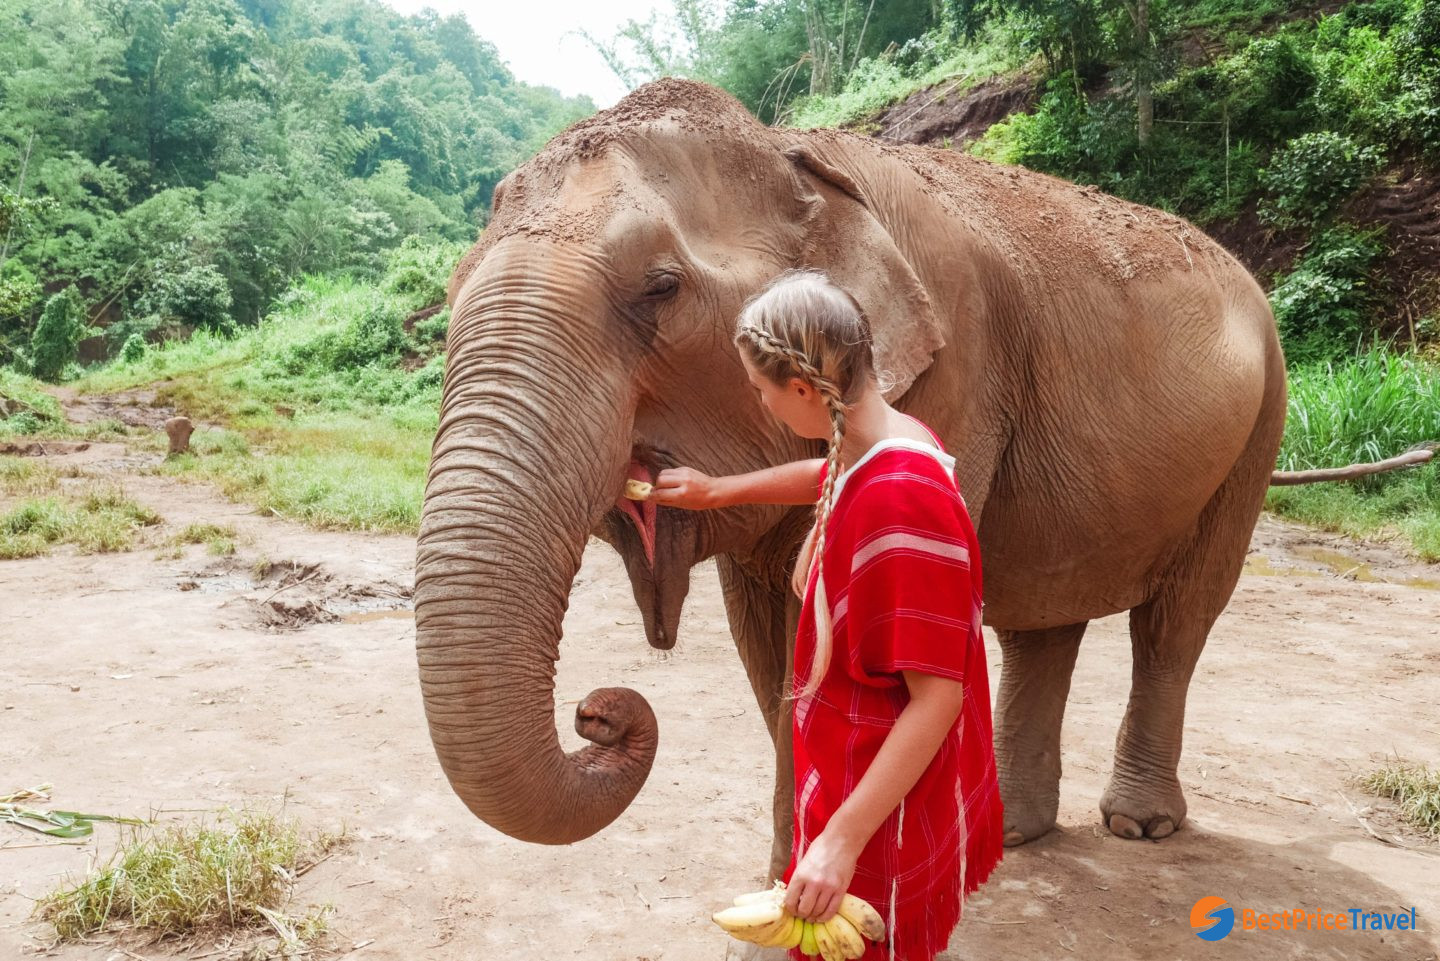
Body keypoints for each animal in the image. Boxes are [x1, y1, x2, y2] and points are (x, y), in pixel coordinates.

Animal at [414, 77, 1286, 878]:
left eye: (661, 288)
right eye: (450, 295)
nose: (599, 711)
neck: (791, 154)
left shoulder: (955, 377)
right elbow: (773, 646)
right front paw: (788, 883)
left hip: (1259, 429)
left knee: (1176, 622)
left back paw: (1139, 824)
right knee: (1045, 619)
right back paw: (1008, 835)